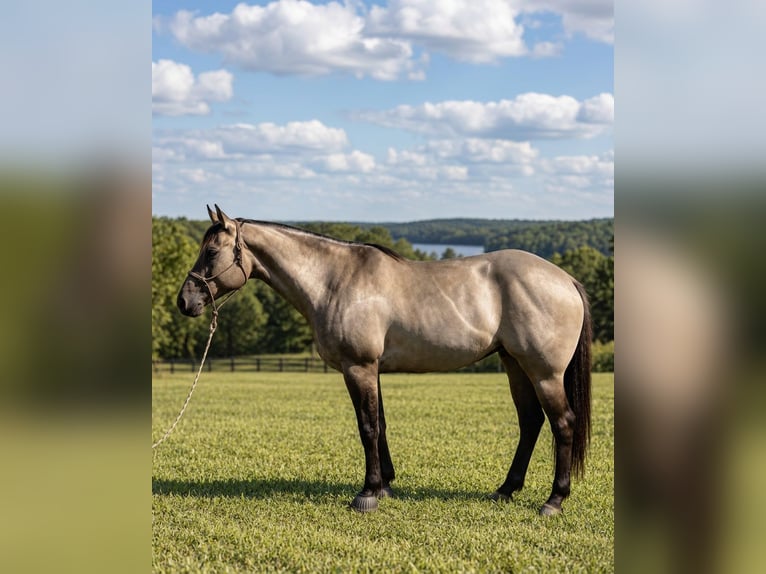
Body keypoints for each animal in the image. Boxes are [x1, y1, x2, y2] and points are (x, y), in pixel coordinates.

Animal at [177, 205, 592, 515]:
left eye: (211, 252)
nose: (185, 301)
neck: (333, 280)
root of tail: (566, 280)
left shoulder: (358, 367)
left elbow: (367, 427)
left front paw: (367, 493)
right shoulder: (371, 369)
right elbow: (381, 425)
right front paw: (386, 486)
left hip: (544, 372)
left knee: (563, 423)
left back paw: (554, 500)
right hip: (515, 364)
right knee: (531, 422)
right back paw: (506, 490)